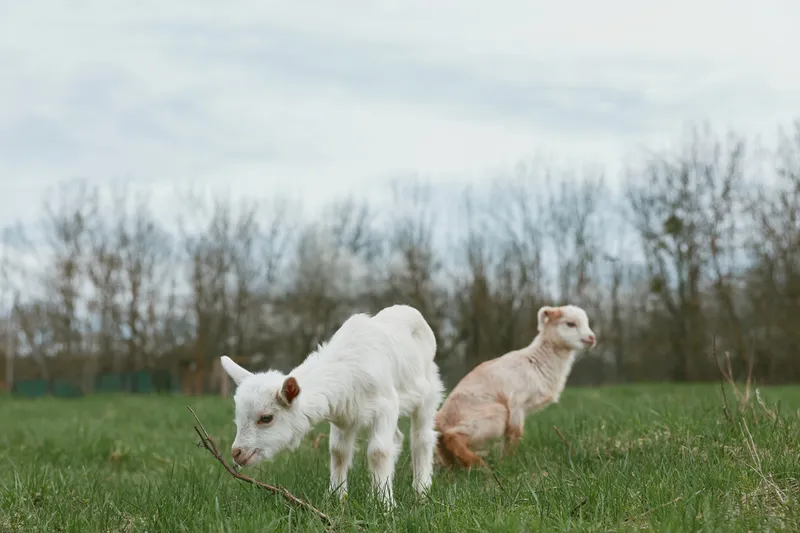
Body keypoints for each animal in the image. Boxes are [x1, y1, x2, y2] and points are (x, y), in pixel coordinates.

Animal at [220, 304, 445, 508]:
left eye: (266, 418)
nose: (237, 453)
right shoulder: (343, 415)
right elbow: (338, 452)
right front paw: (337, 497)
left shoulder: (386, 406)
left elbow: (378, 452)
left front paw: (384, 505)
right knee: (397, 438)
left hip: (428, 390)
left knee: (422, 438)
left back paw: (421, 492)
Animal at [434, 304, 596, 469]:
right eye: (570, 324)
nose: (592, 338)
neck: (537, 361)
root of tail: (441, 420)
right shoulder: (517, 402)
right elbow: (515, 434)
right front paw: (508, 462)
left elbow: (511, 436)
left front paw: (506, 461)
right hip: (493, 415)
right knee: (452, 436)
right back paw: (480, 466)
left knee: (443, 443)